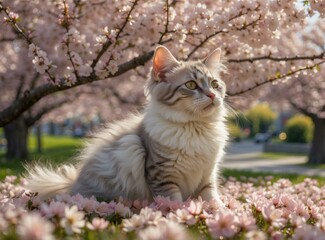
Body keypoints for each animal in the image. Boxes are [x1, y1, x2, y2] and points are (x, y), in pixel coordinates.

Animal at [25, 46, 228, 205]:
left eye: (214, 84)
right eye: (191, 85)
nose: (212, 95)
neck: (196, 127)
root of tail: (71, 184)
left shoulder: (208, 175)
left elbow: (213, 199)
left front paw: (220, 212)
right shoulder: (162, 175)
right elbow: (174, 203)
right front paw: (178, 219)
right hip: (129, 147)